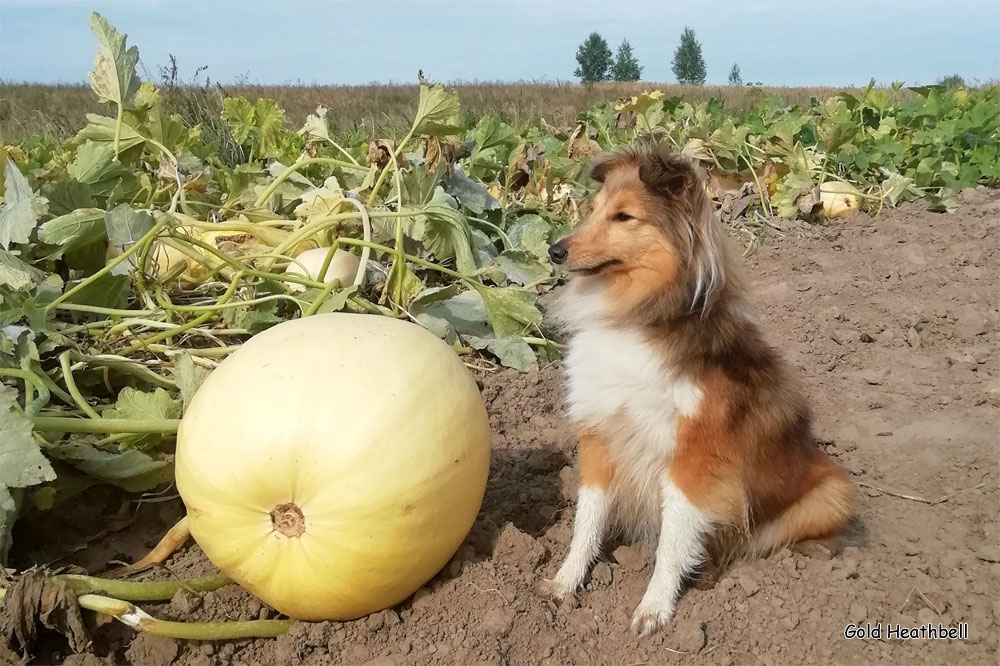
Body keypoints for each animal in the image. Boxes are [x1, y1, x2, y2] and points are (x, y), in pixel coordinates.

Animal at [532, 144, 852, 632]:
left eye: (624, 216)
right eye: (594, 209)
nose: (554, 250)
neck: (636, 316)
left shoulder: (692, 458)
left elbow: (673, 539)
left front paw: (654, 609)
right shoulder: (600, 437)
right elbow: (586, 522)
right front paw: (565, 583)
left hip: (832, 493)